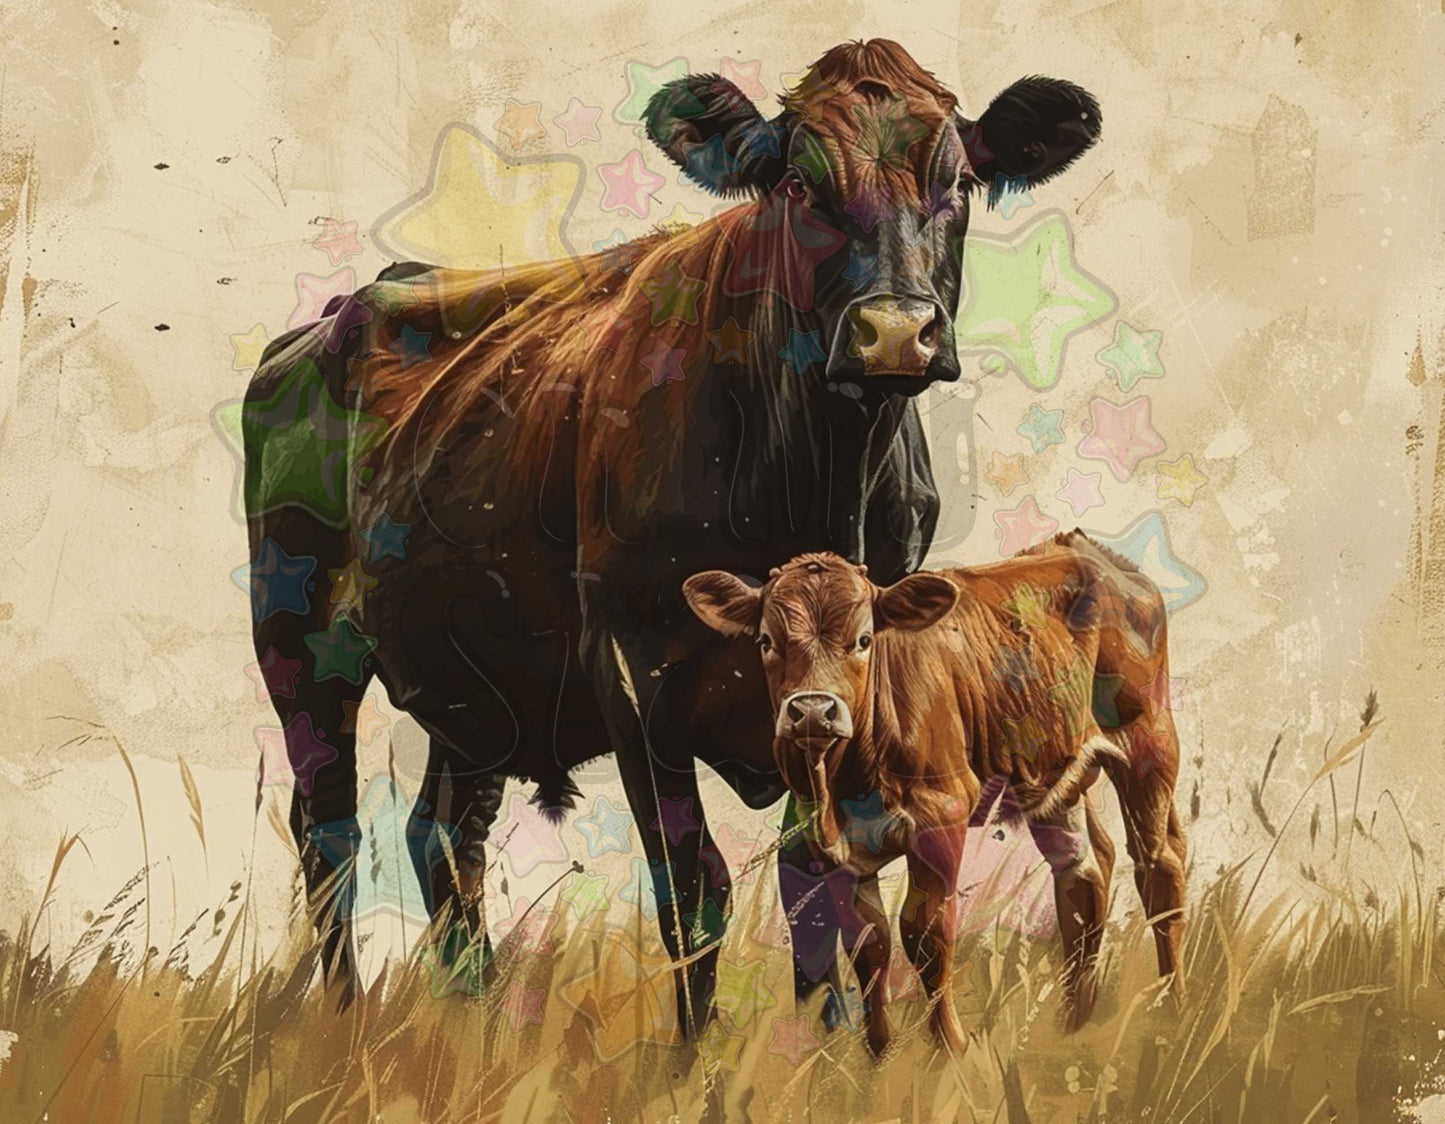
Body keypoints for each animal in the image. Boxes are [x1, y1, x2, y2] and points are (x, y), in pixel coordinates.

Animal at [241, 38, 1102, 1031]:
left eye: (958, 181)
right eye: (797, 183)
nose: (895, 332)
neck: (818, 478)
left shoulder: (843, 680)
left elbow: (815, 875)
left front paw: (829, 1040)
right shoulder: (631, 667)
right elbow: (694, 888)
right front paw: (695, 1050)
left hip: (474, 679)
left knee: (443, 838)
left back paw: (476, 1014)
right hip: (301, 645)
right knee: (330, 831)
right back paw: (344, 1016)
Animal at [682, 533, 1185, 1056]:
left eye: (863, 640)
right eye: (767, 642)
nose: (813, 711)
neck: (845, 780)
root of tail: (1088, 551)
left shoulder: (941, 816)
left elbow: (925, 932)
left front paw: (948, 1051)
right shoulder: (831, 842)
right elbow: (868, 943)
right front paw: (879, 1056)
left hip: (1149, 743)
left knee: (1158, 866)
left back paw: (1169, 1010)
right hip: (1054, 774)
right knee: (1084, 875)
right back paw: (1073, 1024)